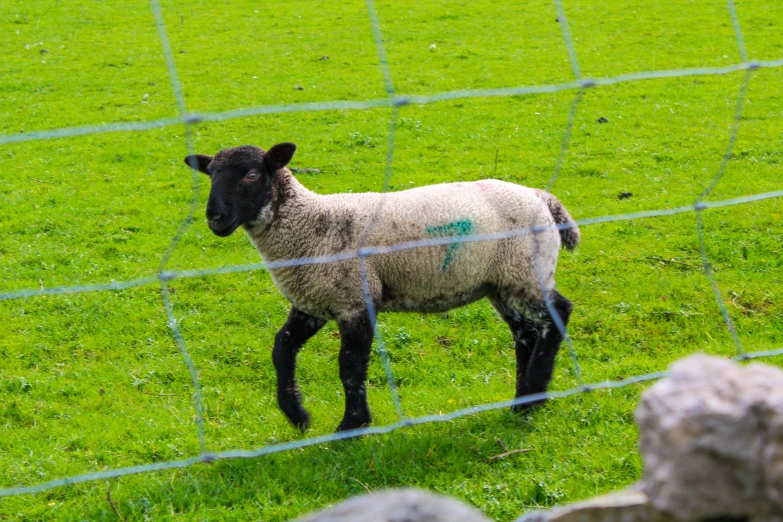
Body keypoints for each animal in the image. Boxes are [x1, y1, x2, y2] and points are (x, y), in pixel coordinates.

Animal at [182, 141, 576, 430]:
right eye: (211, 175)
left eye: (251, 174)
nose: (215, 218)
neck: (309, 225)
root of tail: (542, 198)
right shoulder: (315, 300)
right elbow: (282, 348)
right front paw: (297, 415)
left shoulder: (356, 299)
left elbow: (350, 365)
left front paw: (352, 425)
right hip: (504, 283)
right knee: (526, 334)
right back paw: (523, 402)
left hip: (526, 270)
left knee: (558, 313)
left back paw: (535, 393)